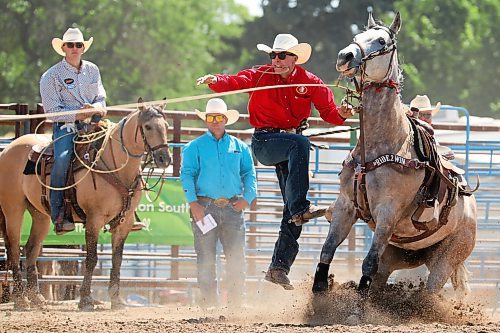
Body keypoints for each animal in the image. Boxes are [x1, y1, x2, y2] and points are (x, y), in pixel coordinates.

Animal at [0, 100, 171, 310]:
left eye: (166, 126)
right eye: (147, 127)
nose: (165, 158)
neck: (114, 166)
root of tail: (8, 149)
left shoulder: (125, 222)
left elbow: (117, 259)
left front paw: (116, 300)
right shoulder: (94, 219)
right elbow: (91, 259)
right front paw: (86, 299)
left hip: (41, 215)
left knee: (31, 249)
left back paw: (36, 298)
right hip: (13, 209)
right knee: (14, 249)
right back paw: (20, 299)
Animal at [312, 12, 476, 298]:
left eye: (381, 41)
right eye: (357, 36)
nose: (345, 56)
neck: (381, 146)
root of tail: (472, 211)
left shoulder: (387, 214)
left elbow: (368, 263)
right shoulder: (345, 205)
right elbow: (327, 250)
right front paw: (319, 295)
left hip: (448, 257)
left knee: (429, 289)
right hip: (399, 252)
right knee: (382, 272)